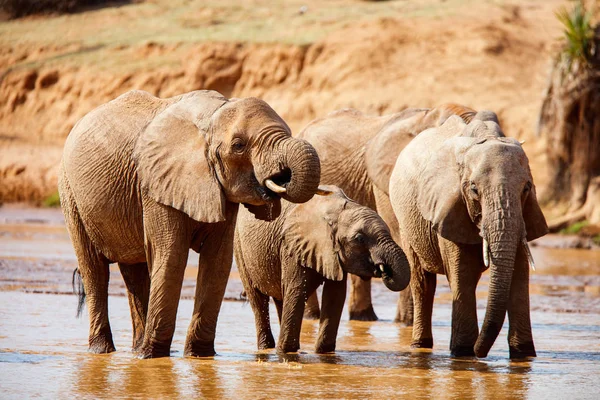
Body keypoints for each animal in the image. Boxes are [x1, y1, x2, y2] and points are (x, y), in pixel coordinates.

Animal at [59, 89, 324, 358]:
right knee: (94, 270)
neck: (213, 115)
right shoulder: (155, 183)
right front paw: (155, 356)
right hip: (70, 193)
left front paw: (199, 355)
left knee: (134, 271)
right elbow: (171, 256)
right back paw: (104, 351)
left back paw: (136, 349)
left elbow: (218, 260)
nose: (282, 177)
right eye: (239, 146)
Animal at [232, 185, 410, 354]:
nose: (384, 270)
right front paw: (286, 351)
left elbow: (335, 296)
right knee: (258, 301)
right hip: (240, 247)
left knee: (280, 297)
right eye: (360, 239)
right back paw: (267, 347)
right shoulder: (293, 246)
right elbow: (297, 291)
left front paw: (324, 351)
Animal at [390, 111, 548, 358]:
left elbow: (519, 275)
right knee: (423, 282)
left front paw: (523, 355)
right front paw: (463, 353)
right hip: (404, 221)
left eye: (526, 188)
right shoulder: (448, 208)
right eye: (474, 189)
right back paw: (420, 345)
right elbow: (462, 273)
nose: (480, 352)